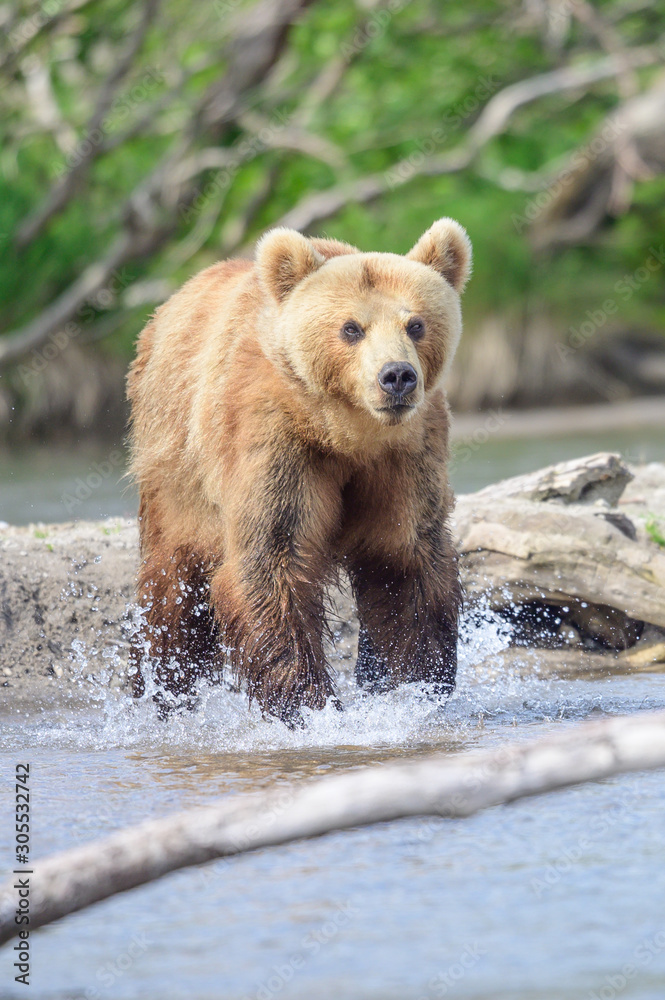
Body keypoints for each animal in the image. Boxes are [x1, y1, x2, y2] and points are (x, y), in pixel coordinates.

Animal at [127, 217, 471, 725]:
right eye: (351, 328)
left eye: (416, 323)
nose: (397, 376)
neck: (346, 434)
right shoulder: (277, 440)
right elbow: (274, 557)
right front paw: (310, 705)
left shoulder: (406, 455)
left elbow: (406, 561)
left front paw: (416, 687)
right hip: (175, 469)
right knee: (172, 595)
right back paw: (165, 692)